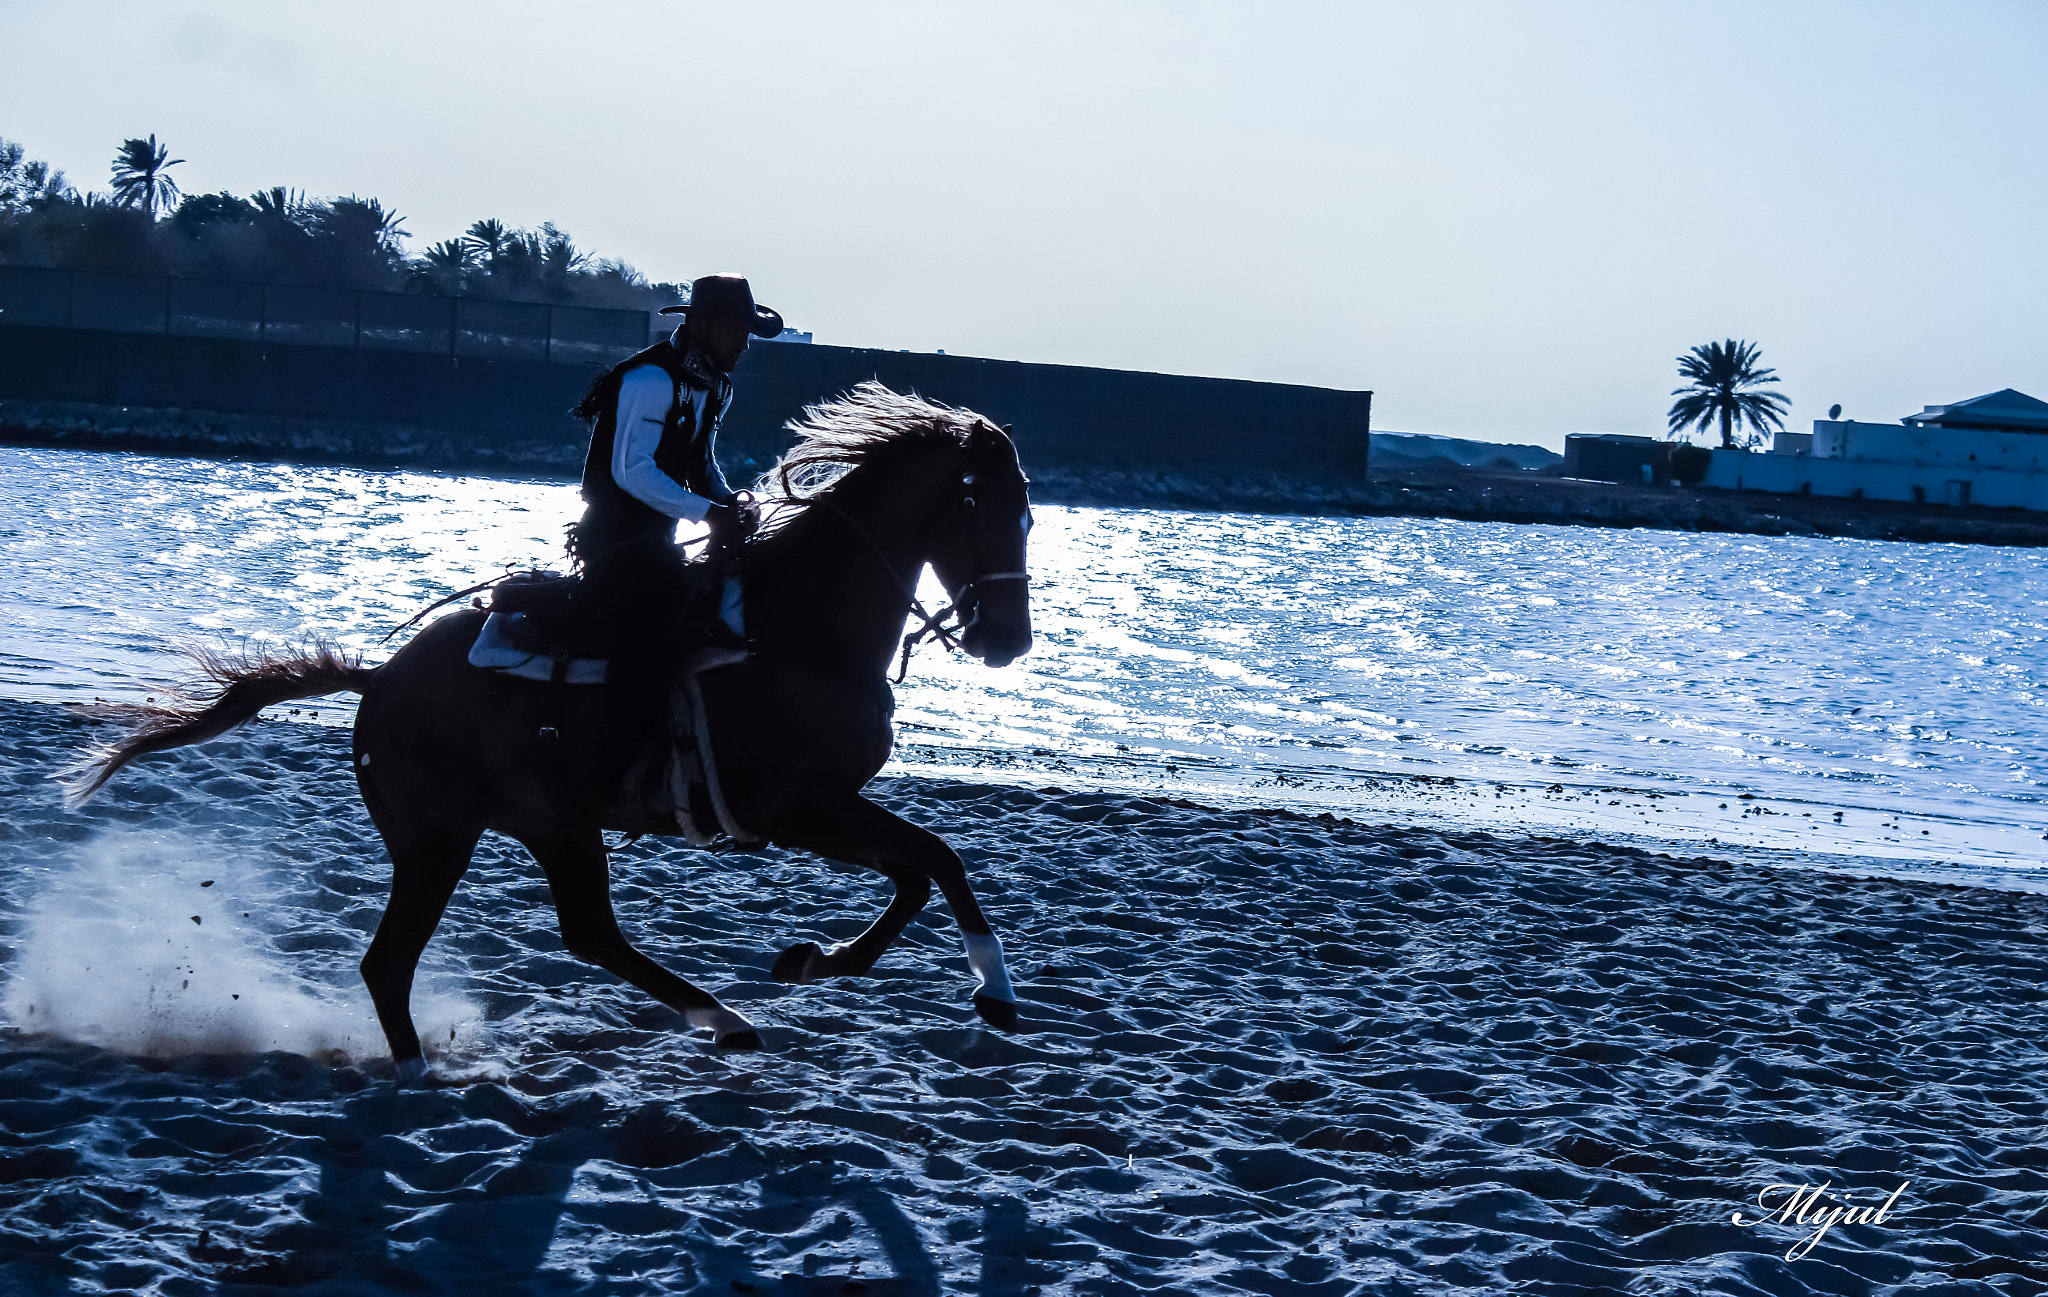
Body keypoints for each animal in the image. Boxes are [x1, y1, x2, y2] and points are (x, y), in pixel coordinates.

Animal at [67, 383, 1035, 1083]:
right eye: (988, 508)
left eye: (1028, 514)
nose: (1007, 639)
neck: (798, 628)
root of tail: (381, 680)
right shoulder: (797, 807)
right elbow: (939, 858)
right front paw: (993, 992)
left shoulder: (825, 808)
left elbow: (918, 873)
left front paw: (814, 959)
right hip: (450, 837)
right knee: (399, 960)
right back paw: (424, 1071)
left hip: (544, 825)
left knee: (583, 934)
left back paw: (720, 1019)